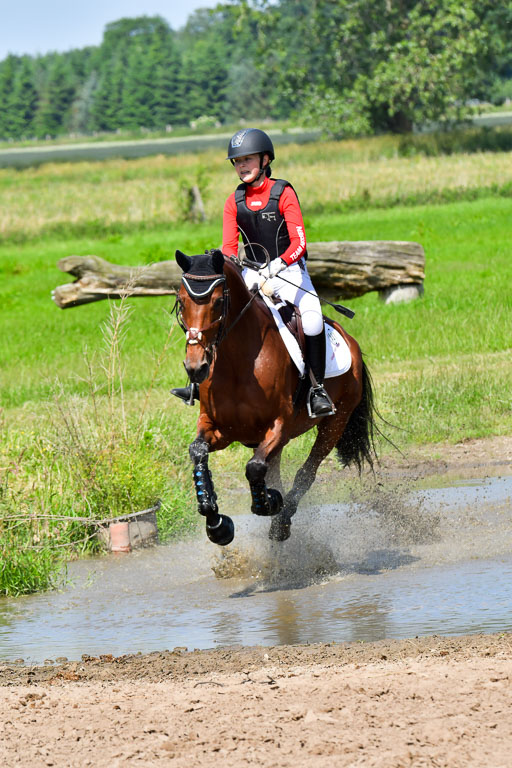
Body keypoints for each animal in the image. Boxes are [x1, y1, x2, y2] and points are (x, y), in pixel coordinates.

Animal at [174, 248, 377, 545]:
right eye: (181, 301)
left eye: (219, 301)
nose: (195, 367)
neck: (239, 362)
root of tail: (350, 340)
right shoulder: (220, 427)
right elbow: (198, 452)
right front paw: (217, 524)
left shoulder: (280, 426)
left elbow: (255, 468)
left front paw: (269, 503)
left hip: (335, 423)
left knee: (306, 473)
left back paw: (281, 522)